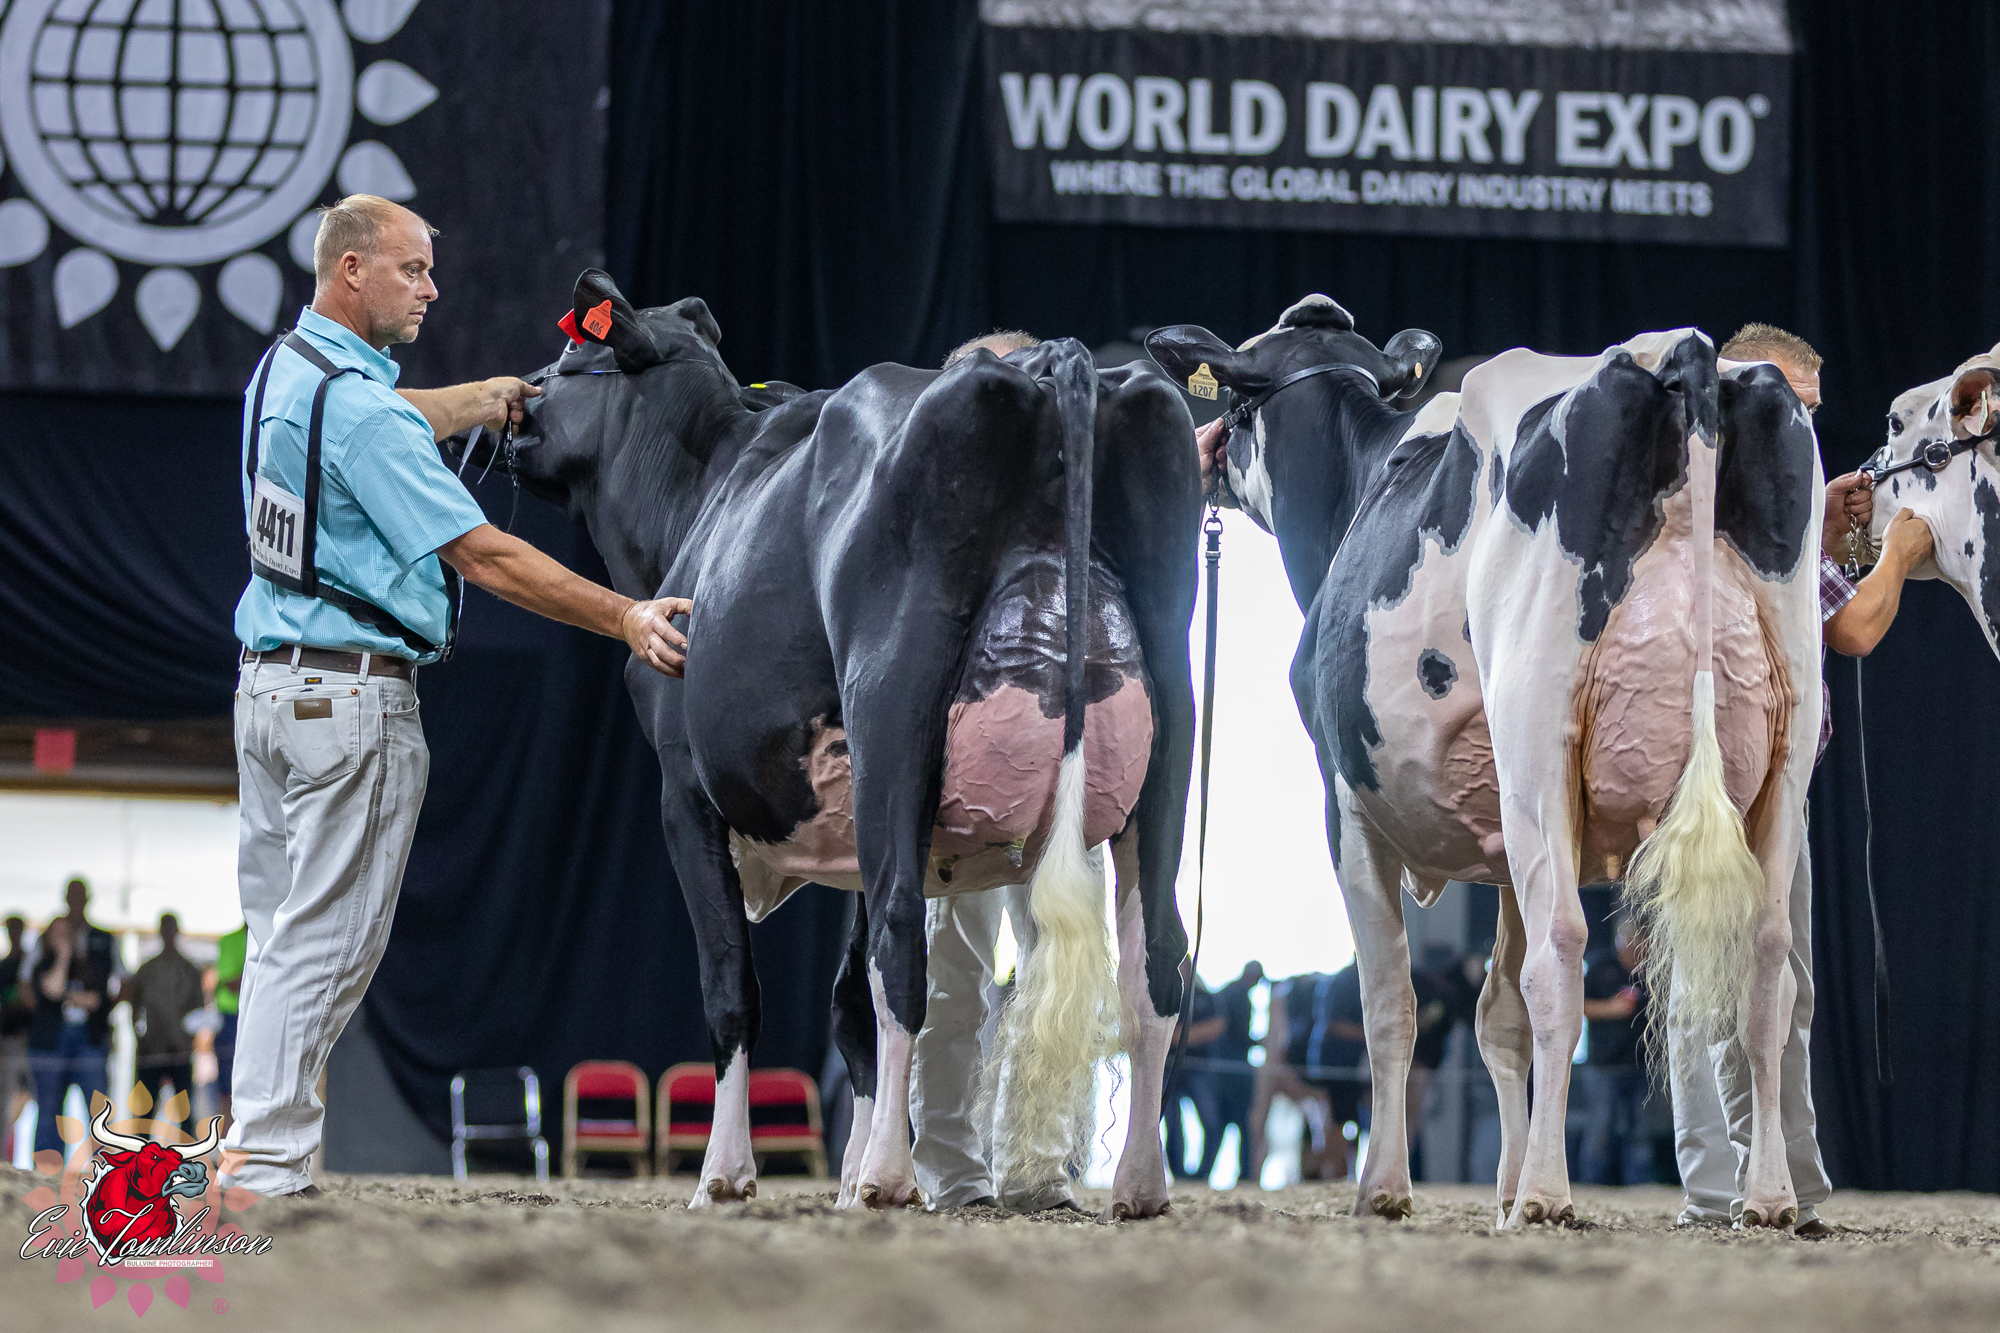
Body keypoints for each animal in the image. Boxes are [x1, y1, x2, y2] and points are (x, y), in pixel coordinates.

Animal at [470, 270, 1201, 1214]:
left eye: (568, 353)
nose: (507, 401)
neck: (702, 499)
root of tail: (1051, 362)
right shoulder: (851, 822)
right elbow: (847, 1001)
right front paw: (843, 1169)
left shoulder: (684, 793)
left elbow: (733, 988)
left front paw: (729, 1172)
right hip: (1169, 720)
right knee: (1158, 959)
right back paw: (1138, 1181)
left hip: (894, 703)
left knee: (902, 941)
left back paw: (891, 1173)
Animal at [1148, 297, 1822, 1229]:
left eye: (1241, 406)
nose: (1208, 448)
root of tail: (1680, 350)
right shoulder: (1505, 847)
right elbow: (1496, 1018)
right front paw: (1495, 1188)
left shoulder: (1346, 803)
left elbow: (1391, 1000)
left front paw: (1387, 1186)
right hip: (1782, 761)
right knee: (1769, 964)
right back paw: (1766, 1199)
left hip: (1539, 741)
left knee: (1563, 954)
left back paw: (1547, 1192)